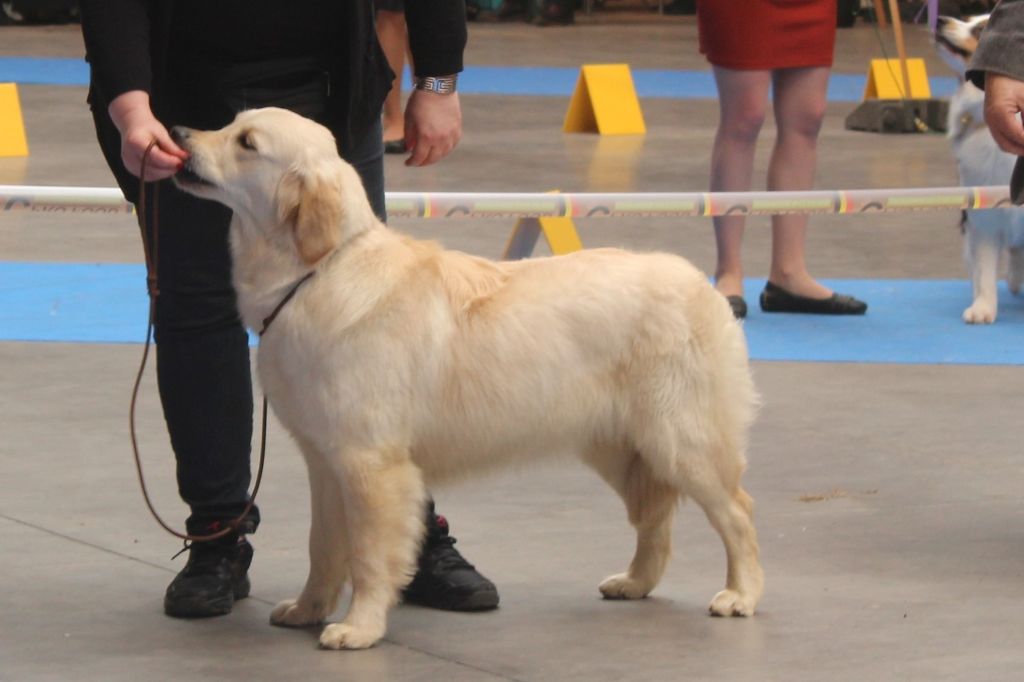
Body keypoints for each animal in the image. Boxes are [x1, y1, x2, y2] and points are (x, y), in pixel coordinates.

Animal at [169, 107, 761, 647]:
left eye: (246, 142)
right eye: (229, 124)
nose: (176, 133)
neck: (318, 272)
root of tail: (702, 283)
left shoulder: (370, 464)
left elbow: (368, 555)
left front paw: (360, 628)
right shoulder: (325, 462)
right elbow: (323, 547)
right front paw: (307, 609)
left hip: (681, 441)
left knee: (737, 512)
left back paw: (741, 594)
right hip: (621, 446)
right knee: (655, 519)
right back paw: (635, 582)